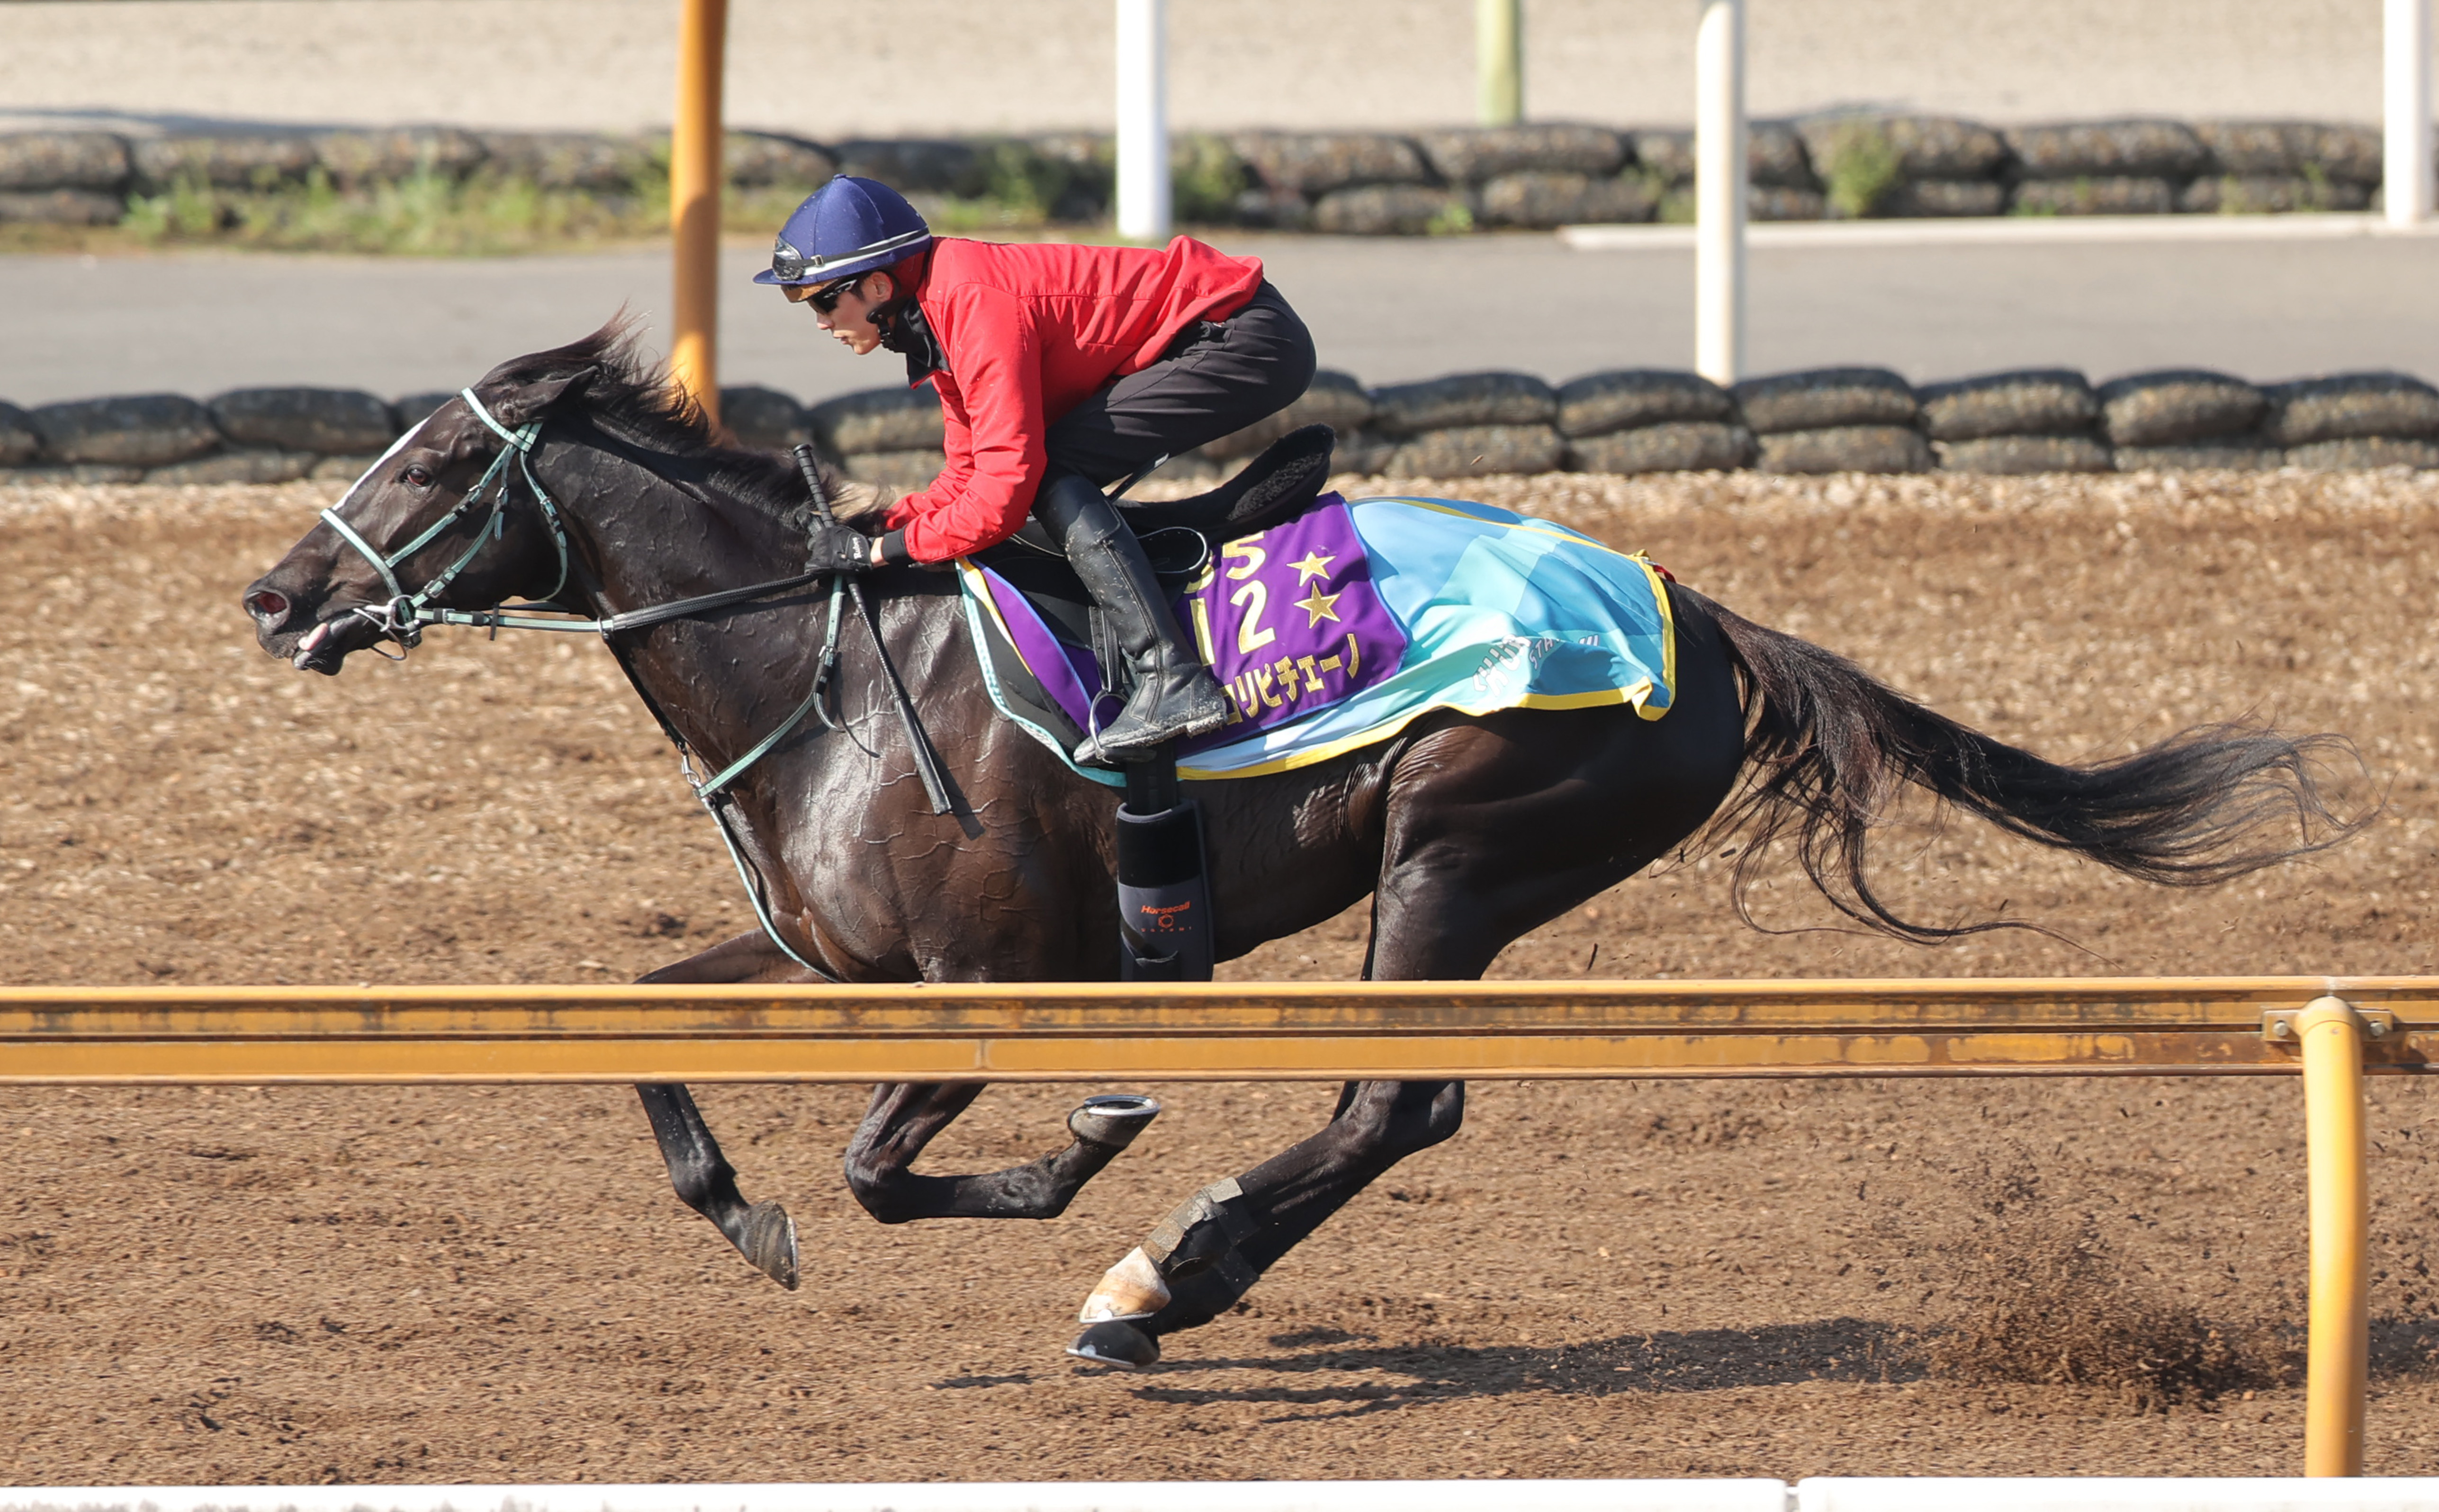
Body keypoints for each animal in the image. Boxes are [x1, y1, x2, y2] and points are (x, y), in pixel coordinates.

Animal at [241, 326, 2355, 1368]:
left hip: (1456, 844)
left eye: (434, 465)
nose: (274, 598)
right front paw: (732, 1209)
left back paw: (1157, 1286)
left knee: (1394, 1100)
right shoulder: (827, 953)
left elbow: (880, 1167)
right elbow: (648, 1031)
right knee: (1392, 1105)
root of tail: (1693, 610)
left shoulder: (1001, 978)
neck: (822, 663)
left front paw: (1084, 1163)